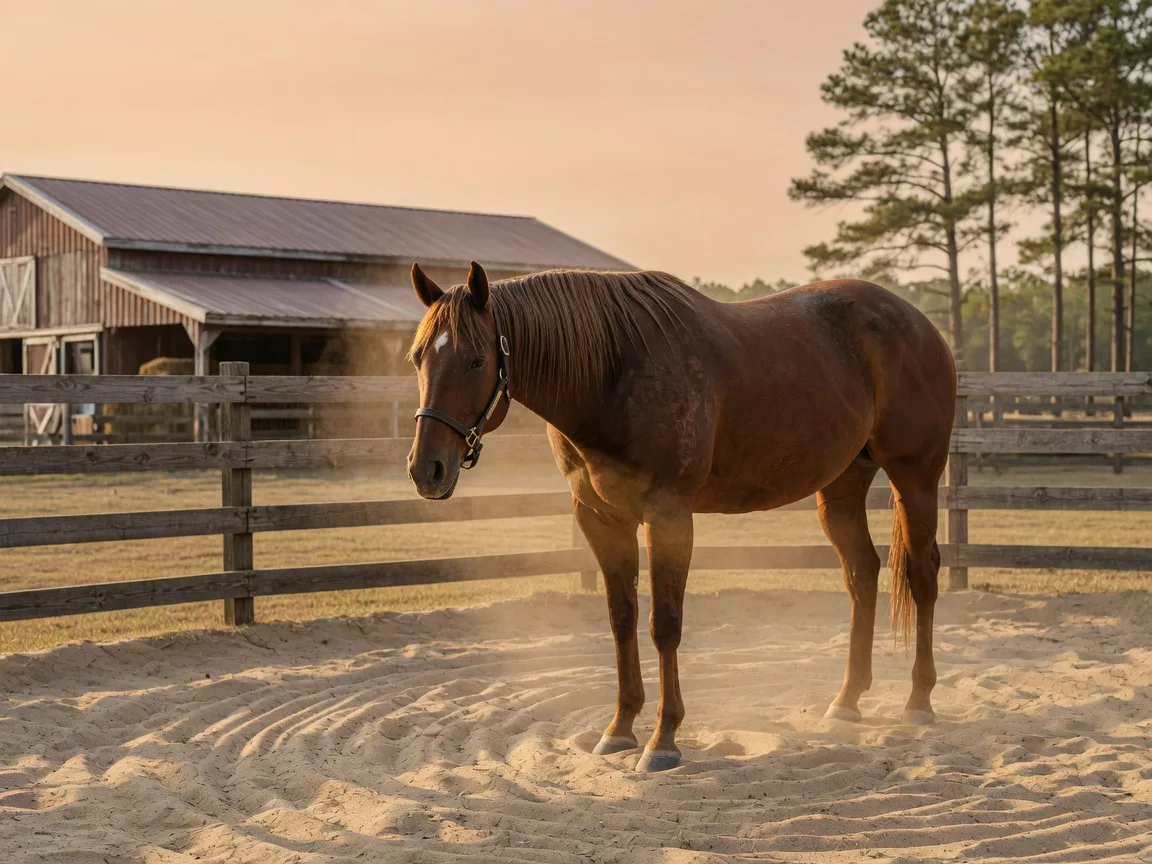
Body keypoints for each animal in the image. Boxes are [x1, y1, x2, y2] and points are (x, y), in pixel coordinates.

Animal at [405, 261, 956, 772]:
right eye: (417, 357)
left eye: (477, 360)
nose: (426, 469)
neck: (611, 373)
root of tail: (921, 325)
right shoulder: (601, 518)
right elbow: (621, 619)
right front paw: (620, 728)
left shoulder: (668, 515)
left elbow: (664, 624)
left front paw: (663, 740)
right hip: (842, 486)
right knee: (862, 572)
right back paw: (846, 701)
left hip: (915, 478)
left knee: (923, 574)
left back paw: (919, 700)